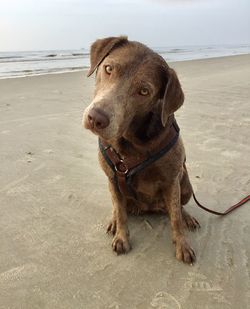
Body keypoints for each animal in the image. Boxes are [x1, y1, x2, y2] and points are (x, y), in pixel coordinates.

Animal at [83, 35, 200, 262]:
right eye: (108, 68)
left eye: (144, 91)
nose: (96, 118)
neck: (132, 141)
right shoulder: (112, 179)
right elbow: (120, 212)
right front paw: (121, 236)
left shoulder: (172, 180)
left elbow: (175, 218)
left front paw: (182, 244)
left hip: (186, 184)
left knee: (179, 207)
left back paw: (188, 217)